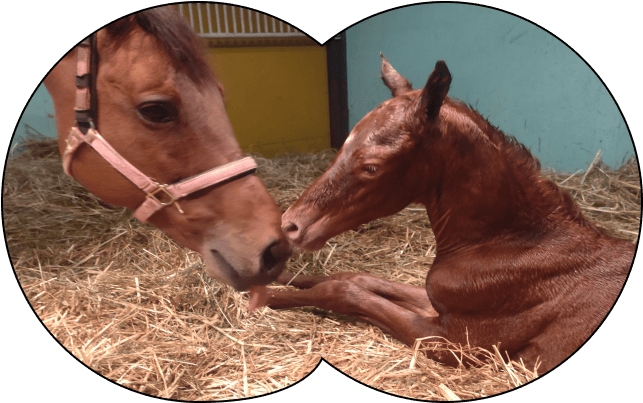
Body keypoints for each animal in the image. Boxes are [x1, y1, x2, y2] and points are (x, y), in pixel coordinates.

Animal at [266, 55, 632, 374]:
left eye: (372, 166)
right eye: (342, 146)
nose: (290, 225)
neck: (508, 244)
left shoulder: (459, 344)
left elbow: (343, 291)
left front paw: (267, 295)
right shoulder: (435, 303)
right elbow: (355, 278)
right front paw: (280, 277)